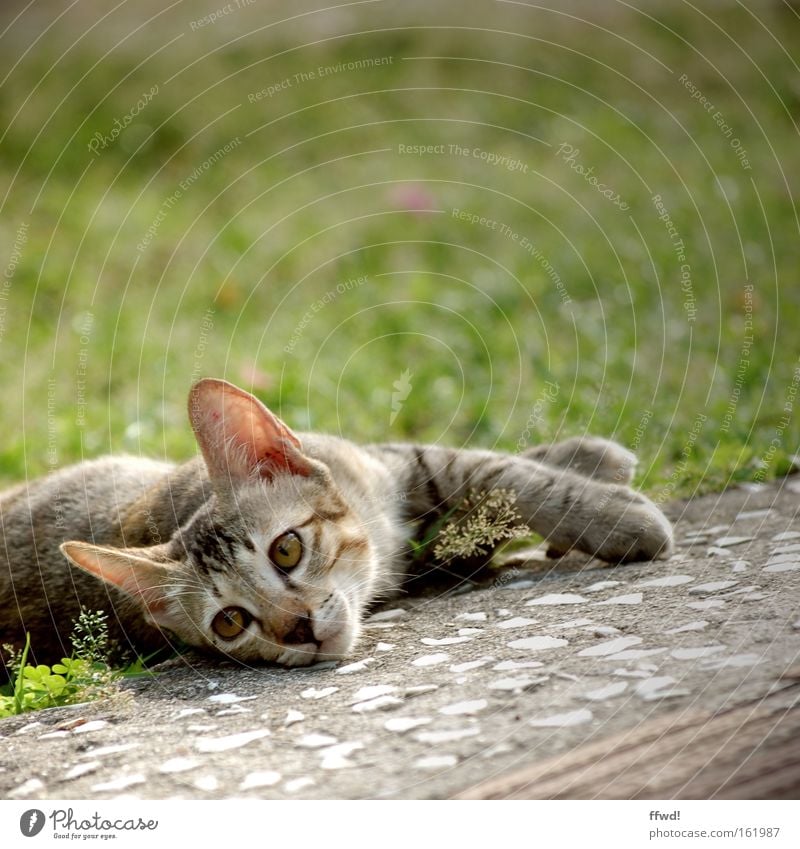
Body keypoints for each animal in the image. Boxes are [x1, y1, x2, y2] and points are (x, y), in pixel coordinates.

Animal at [0, 380, 672, 668]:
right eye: (229, 622)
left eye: (286, 550)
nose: (297, 629)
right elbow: (489, 494)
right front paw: (620, 516)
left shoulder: (393, 465)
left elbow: (499, 473)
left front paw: (593, 469)